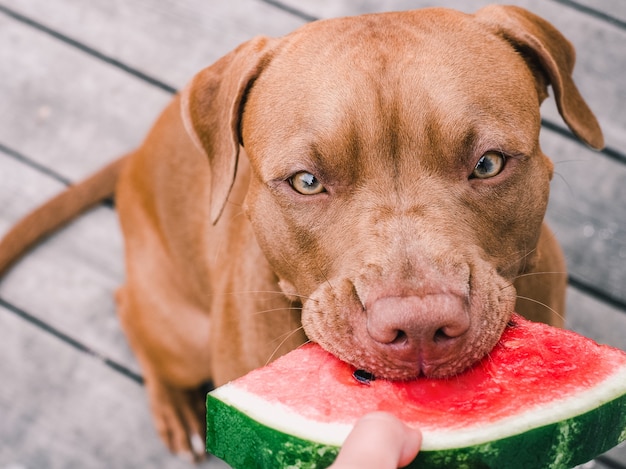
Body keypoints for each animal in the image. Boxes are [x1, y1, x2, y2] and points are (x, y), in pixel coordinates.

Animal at [0, 4, 604, 460]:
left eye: (488, 164)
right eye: (307, 182)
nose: (420, 326)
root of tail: (133, 160)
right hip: (181, 331)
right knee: (127, 306)